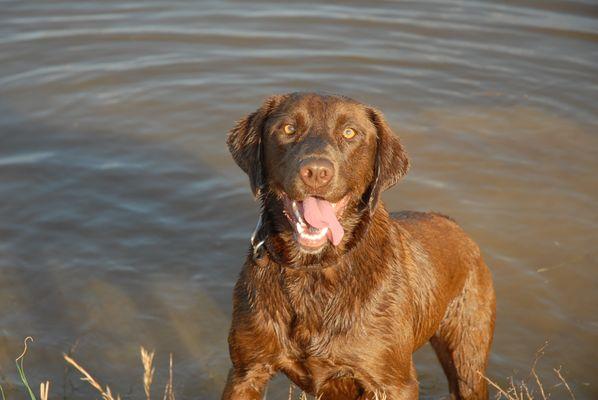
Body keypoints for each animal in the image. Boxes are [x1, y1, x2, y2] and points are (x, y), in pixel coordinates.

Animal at [224, 92, 496, 398]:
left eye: (349, 133)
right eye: (288, 128)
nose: (316, 172)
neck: (314, 269)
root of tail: (453, 224)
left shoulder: (394, 383)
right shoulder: (246, 371)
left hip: (467, 357)